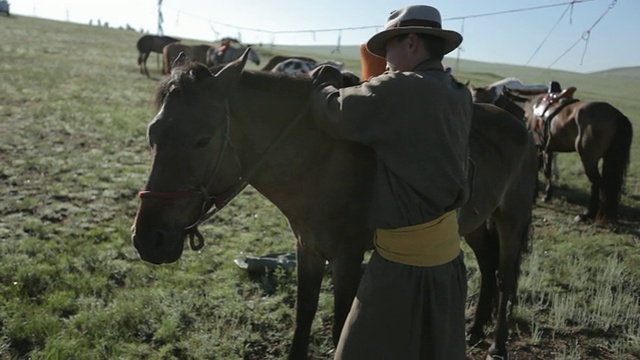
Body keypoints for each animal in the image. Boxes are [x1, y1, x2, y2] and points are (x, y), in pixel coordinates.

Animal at [131, 51, 540, 360]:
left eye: (202, 140)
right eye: (152, 133)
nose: (148, 239)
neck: (322, 158)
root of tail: (522, 124)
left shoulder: (347, 256)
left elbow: (341, 322)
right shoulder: (308, 248)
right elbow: (305, 314)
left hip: (511, 219)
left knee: (505, 276)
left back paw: (497, 344)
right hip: (474, 223)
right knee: (487, 265)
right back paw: (475, 330)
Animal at [490, 86, 632, 222]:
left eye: (497, 100)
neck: (530, 105)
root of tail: (617, 115)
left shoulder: (536, 146)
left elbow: (537, 170)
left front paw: (535, 195)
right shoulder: (547, 148)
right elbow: (547, 171)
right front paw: (547, 195)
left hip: (588, 159)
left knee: (597, 183)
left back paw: (587, 214)